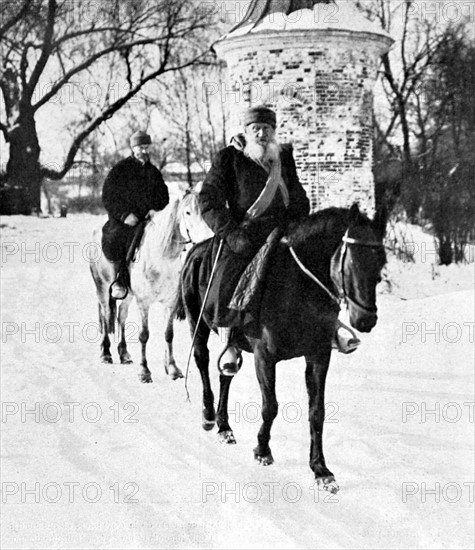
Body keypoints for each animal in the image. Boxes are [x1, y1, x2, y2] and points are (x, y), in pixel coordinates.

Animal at [90, 190, 213, 384]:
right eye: (187, 212)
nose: (206, 238)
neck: (161, 256)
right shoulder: (144, 302)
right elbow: (144, 335)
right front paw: (144, 372)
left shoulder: (170, 302)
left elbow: (168, 334)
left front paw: (172, 369)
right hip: (102, 288)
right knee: (105, 315)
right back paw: (106, 353)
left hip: (128, 295)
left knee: (121, 316)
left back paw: (124, 354)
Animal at [177, 204, 388, 496]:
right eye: (353, 262)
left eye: (381, 262)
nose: (366, 320)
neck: (299, 288)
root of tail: (196, 250)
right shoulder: (265, 357)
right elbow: (271, 407)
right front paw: (262, 450)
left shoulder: (319, 356)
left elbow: (317, 412)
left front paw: (321, 470)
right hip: (198, 326)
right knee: (202, 361)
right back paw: (208, 416)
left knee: (225, 374)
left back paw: (224, 427)